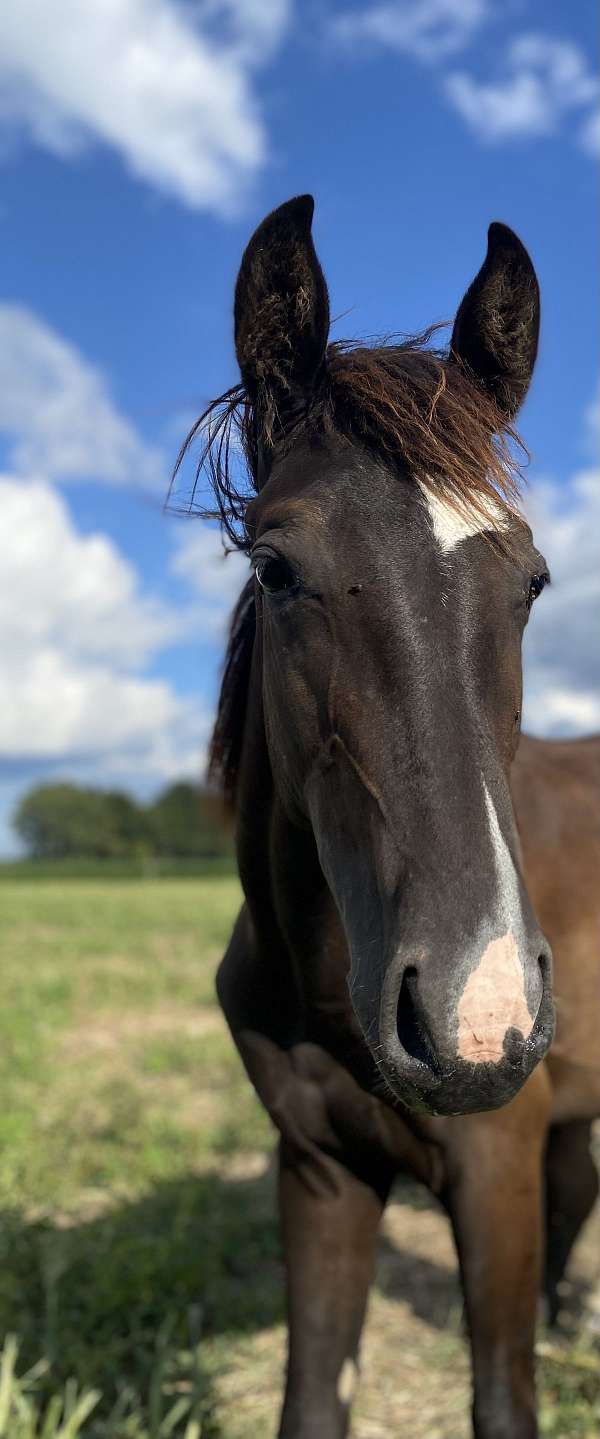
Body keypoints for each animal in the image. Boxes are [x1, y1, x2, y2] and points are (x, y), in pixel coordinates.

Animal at [183, 200, 598, 1439]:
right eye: (275, 566)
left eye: (533, 582)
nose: (477, 1017)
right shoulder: (321, 1172)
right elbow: (313, 1399)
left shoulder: (494, 1170)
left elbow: (504, 1400)